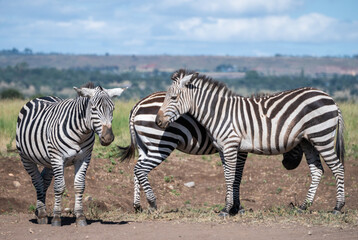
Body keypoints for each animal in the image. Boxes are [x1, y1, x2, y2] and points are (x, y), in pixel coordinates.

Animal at [16, 83, 126, 226]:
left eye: (113, 109)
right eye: (94, 109)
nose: (108, 138)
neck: (81, 133)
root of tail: (42, 97)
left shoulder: (84, 158)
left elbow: (79, 186)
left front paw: (80, 216)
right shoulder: (57, 158)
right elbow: (59, 187)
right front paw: (57, 218)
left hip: (49, 161)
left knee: (44, 180)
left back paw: (39, 210)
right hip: (26, 157)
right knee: (37, 180)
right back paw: (42, 214)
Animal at [119, 91, 302, 214]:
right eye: (298, 142)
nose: (288, 166)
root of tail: (138, 104)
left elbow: (233, 176)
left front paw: (233, 206)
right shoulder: (240, 149)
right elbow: (237, 177)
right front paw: (237, 207)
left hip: (145, 144)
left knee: (136, 169)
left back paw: (137, 205)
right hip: (161, 143)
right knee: (141, 169)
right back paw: (152, 203)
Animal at [156, 69, 344, 216]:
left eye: (173, 97)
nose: (158, 122)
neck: (218, 113)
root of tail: (330, 98)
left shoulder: (231, 146)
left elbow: (231, 177)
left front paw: (227, 209)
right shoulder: (223, 149)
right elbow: (229, 177)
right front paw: (231, 207)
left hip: (322, 137)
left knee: (338, 167)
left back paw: (338, 207)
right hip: (308, 141)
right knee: (317, 171)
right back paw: (304, 207)